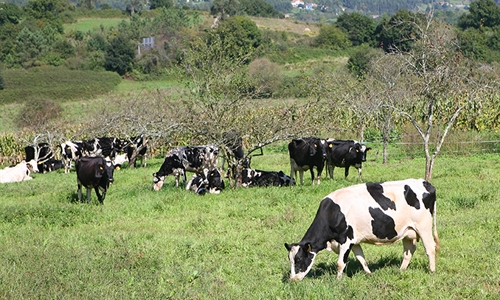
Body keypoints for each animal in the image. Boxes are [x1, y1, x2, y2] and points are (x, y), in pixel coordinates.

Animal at [284, 177, 440, 280]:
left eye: (298, 260)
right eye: (290, 260)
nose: (292, 280)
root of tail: (424, 182)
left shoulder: (346, 240)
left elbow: (340, 263)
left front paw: (338, 281)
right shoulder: (354, 240)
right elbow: (361, 258)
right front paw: (369, 273)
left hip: (424, 226)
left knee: (430, 248)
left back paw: (432, 271)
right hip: (407, 231)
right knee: (409, 251)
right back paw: (401, 270)